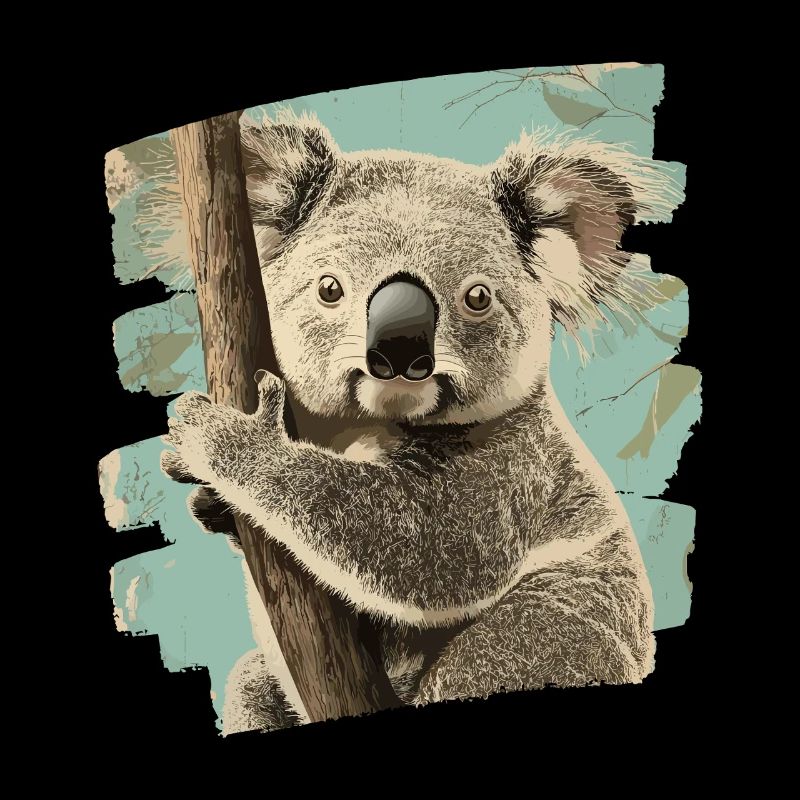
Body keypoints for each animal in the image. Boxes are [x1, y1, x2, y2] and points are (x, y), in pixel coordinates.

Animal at [161, 112, 679, 733]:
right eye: (330, 289)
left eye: (477, 297)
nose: (399, 350)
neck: (361, 427)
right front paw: (202, 494)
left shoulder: (513, 466)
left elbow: (428, 547)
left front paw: (229, 438)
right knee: (250, 682)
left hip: (550, 638)